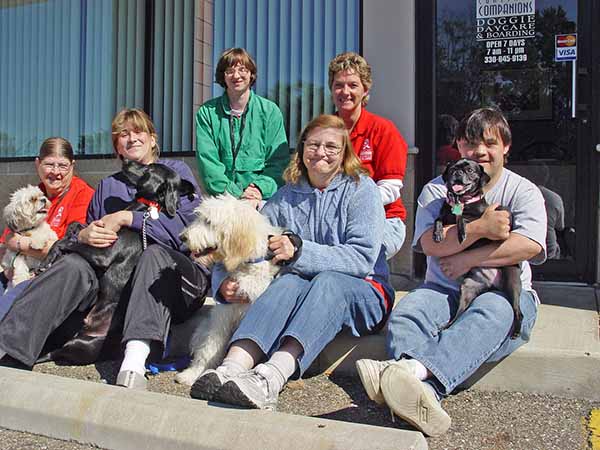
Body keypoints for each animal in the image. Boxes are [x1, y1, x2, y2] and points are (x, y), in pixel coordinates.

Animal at [37, 160, 196, 364]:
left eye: (149, 168)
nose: (126, 161)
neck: (142, 207)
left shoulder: (103, 255)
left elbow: (68, 243)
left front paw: (50, 257)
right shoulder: (98, 229)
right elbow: (75, 227)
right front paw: (51, 255)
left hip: (81, 345)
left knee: (55, 353)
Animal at [175, 195, 282, 384]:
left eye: (209, 222)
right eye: (199, 217)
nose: (183, 237)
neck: (246, 265)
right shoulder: (222, 315)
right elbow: (210, 347)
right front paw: (193, 373)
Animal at [432, 158, 520, 338]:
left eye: (470, 171)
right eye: (452, 169)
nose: (458, 173)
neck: (461, 200)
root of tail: (492, 283)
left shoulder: (480, 219)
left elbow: (463, 219)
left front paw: (462, 233)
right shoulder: (444, 215)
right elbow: (438, 219)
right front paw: (437, 234)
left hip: (512, 280)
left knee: (518, 311)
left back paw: (515, 331)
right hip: (468, 287)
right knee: (459, 313)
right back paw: (447, 326)